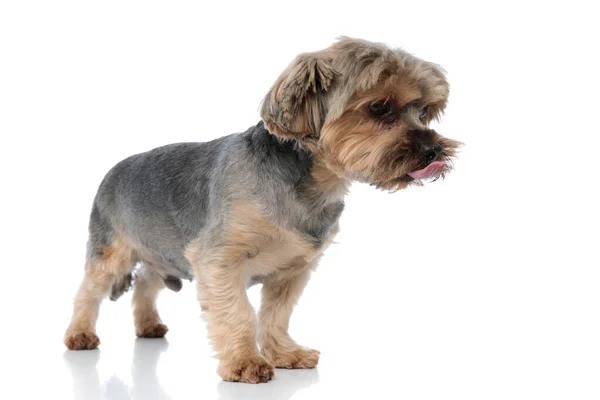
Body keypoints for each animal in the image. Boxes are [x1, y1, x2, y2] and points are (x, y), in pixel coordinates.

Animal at [64, 38, 460, 384]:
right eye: (379, 107)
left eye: (425, 112)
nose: (432, 151)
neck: (310, 183)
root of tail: (113, 170)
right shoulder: (219, 259)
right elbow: (238, 312)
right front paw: (244, 362)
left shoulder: (294, 269)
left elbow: (276, 314)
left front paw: (285, 354)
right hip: (112, 247)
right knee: (90, 289)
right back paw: (80, 333)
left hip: (161, 248)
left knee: (147, 281)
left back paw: (147, 324)